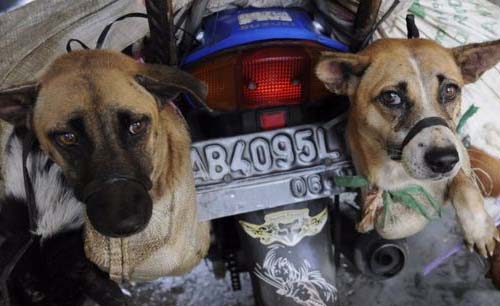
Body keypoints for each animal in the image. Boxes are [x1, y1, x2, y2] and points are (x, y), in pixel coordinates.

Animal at [316, 38, 500, 258]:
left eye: (450, 90)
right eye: (391, 97)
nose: (445, 160)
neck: (399, 171)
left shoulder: (460, 156)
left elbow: (466, 186)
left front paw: (480, 230)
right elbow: (390, 226)